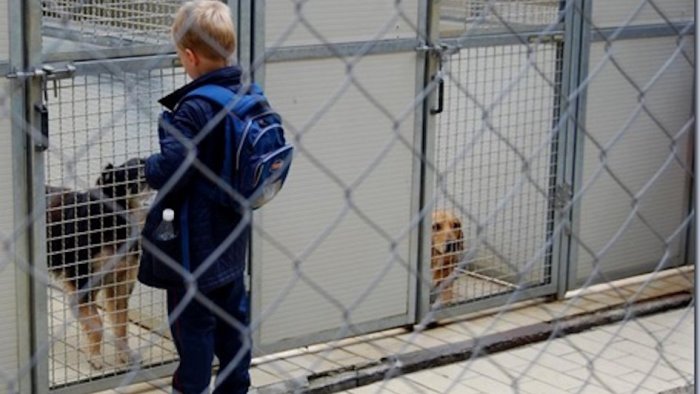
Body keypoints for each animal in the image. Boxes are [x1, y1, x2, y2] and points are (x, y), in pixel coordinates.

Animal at [47, 158, 150, 370]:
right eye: (138, 177)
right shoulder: (82, 283)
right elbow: (97, 323)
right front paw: (94, 357)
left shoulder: (119, 283)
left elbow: (121, 324)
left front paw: (124, 355)